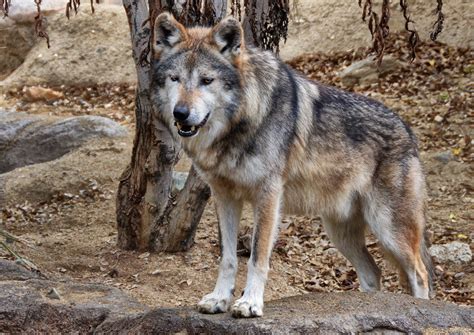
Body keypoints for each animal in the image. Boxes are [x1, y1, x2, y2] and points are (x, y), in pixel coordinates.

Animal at [151, 12, 434, 318]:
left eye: (206, 80)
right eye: (175, 78)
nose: (181, 113)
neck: (242, 122)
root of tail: (408, 131)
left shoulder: (268, 195)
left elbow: (257, 256)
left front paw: (250, 303)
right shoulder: (224, 197)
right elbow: (227, 258)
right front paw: (219, 299)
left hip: (388, 230)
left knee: (420, 273)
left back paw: (420, 309)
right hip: (341, 233)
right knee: (374, 273)